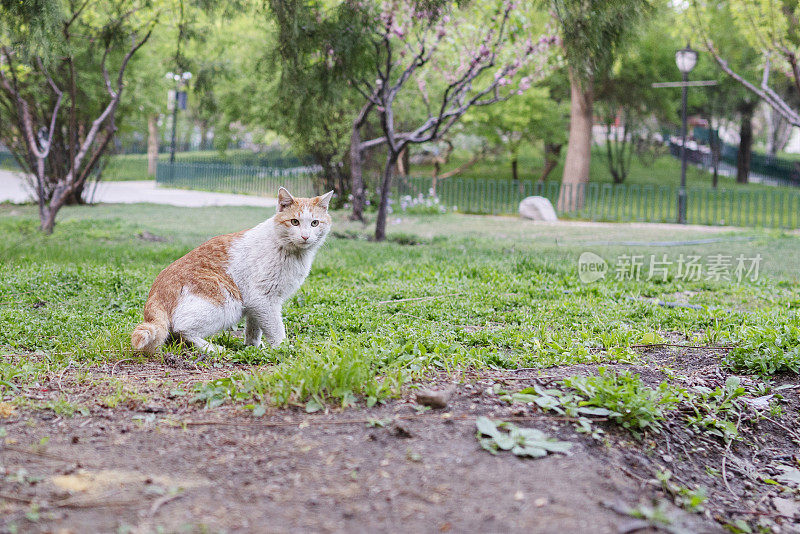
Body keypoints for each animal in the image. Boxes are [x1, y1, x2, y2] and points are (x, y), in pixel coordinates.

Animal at [131, 186, 332, 358]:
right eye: (294, 222)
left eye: (315, 223)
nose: (305, 236)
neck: (292, 252)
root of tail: (156, 291)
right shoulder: (264, 300)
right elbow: (276, 329)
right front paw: (284, 348)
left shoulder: (255, 305)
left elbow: (254, 329)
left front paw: (253, 347)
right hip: (228, 302)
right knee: (182, 329)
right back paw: (212, 348)